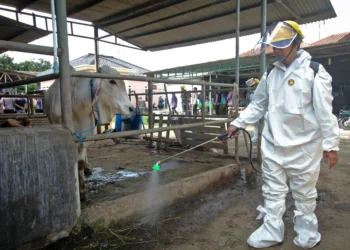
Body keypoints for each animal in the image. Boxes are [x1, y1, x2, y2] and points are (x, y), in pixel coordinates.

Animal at [44, 65, 134, 199]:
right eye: (112, 81)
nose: (131, 108)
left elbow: (80, 161)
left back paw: (87, 169)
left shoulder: (85, 133)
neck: (74, 102)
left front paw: (82, 190)